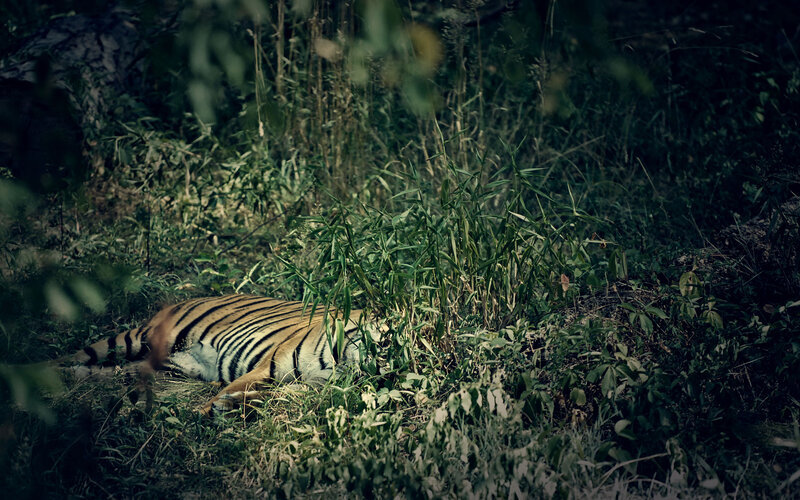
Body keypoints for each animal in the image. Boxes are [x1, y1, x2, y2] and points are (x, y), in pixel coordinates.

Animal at [59, 294, 379, 415]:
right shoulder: (269, 368)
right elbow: (233, 389)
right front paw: (202, 415)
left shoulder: (311, 388)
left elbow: (273, 396)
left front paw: (232, 406)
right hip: (135, 338)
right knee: (75, 356)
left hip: (166, 370)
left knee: (102, 373)